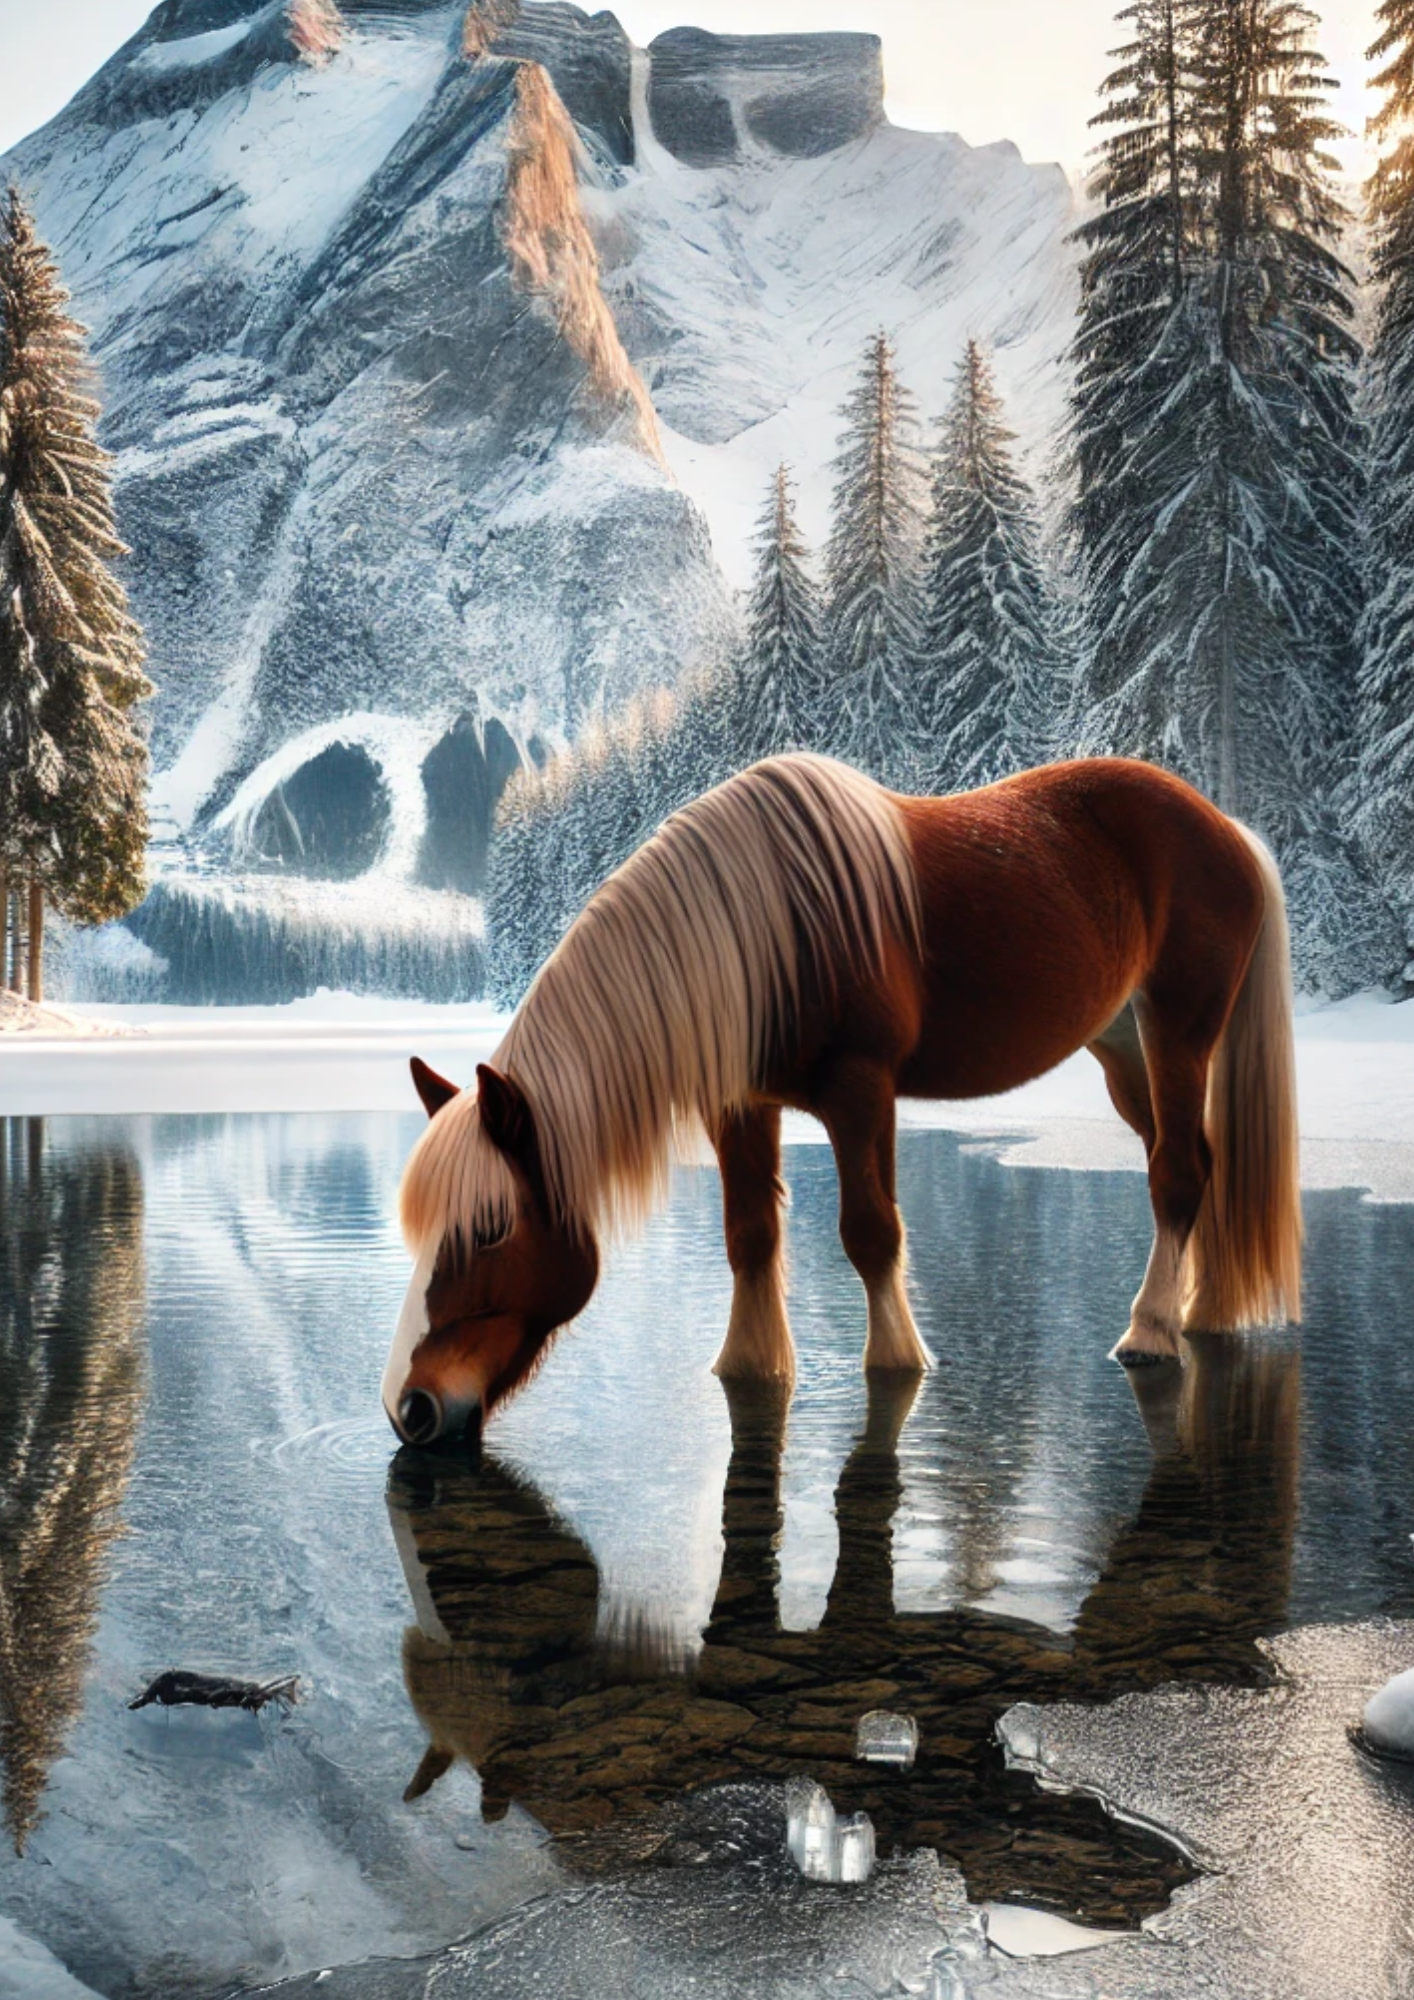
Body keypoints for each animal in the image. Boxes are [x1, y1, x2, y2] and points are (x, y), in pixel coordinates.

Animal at [383, 753, 1301, 1447]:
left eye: (490, 1229)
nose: (409, 1409)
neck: (764, 936)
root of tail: (1226, 827)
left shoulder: (862, 1091)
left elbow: (869, 1231)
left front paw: (899, 1362)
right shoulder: (739, 1105)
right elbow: (750, 1235)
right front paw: (749, 1366)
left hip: (1177, 1030)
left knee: (1176, 1174)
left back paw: (1150, 1331)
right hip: (1121, 1046)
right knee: (1193, 1161)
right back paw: (1201, 1313)